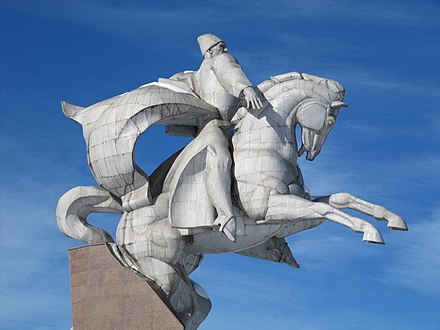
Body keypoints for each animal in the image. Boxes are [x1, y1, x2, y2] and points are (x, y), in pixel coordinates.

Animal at [56, 71, 408, 328]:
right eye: (330, 121)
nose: (312, 153)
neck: (263, 146)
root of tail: (126, 218)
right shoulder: (272, 208)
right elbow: (328, 208)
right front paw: (370, 232)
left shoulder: (289, 216)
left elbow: (340, 199)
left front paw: (392, 219)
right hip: (161, 271)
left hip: (180, 273)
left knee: (195, 306)